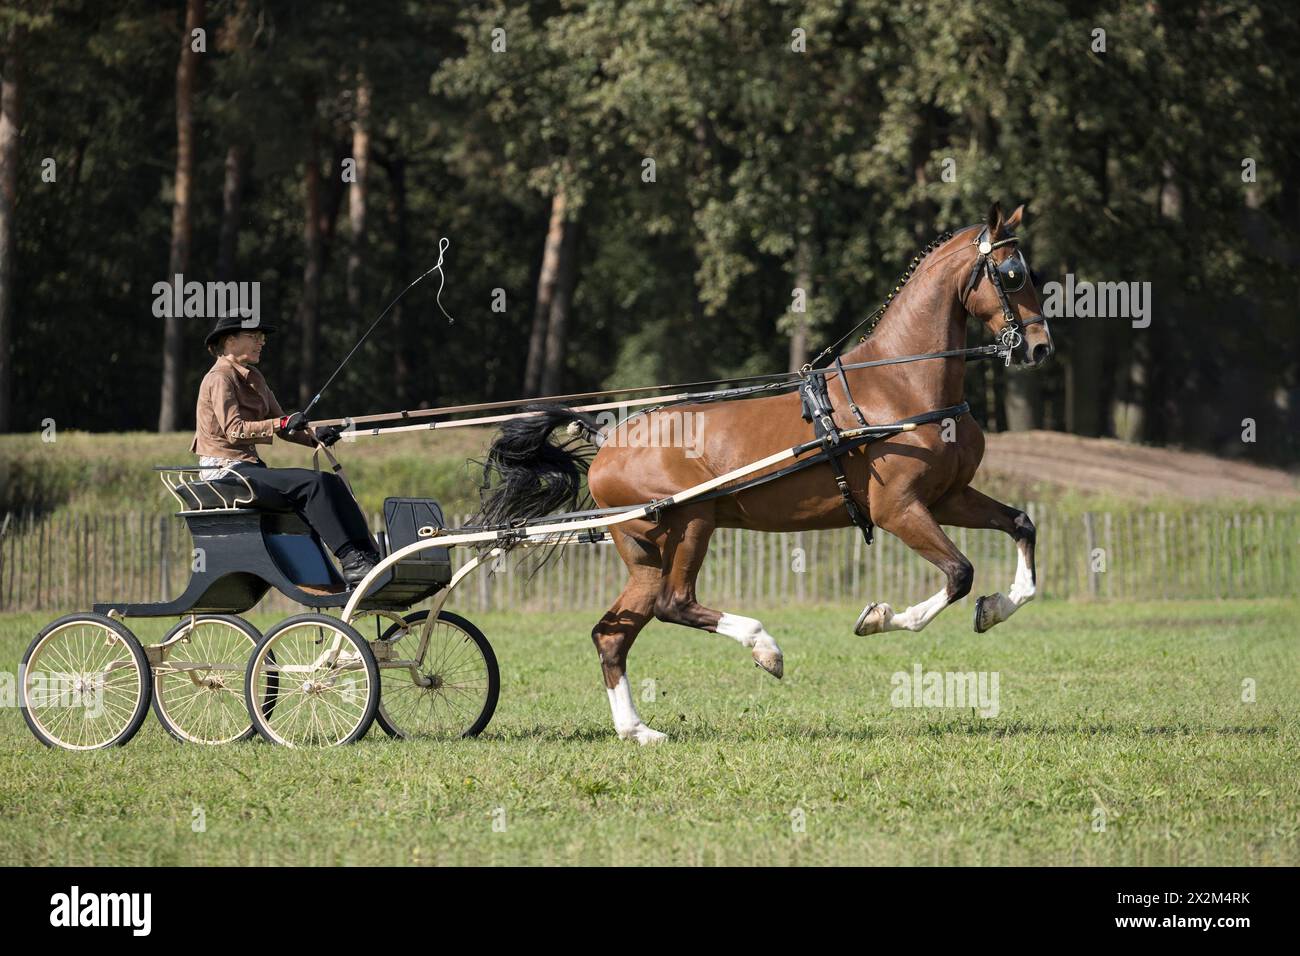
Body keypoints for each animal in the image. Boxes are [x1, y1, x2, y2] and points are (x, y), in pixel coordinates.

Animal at [483, 204, 1050, 749]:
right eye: (1013, 273)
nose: (1040, 348)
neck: (899, 387)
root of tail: (607, 443)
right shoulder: (898, 510)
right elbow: (959, 573)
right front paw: (880, 618)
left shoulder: (948, 497)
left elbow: (1021, 526)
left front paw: (996, 608)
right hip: (692, 522)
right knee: (674, 604)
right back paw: (764, 647)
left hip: (645, 553)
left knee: (612, 633)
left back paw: (637, 730)